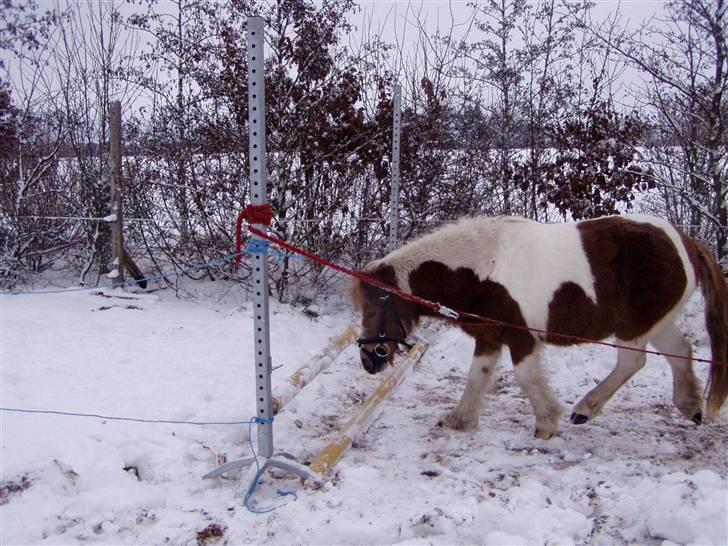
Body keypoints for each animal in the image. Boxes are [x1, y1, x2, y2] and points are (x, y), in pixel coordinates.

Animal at [352, 212, 728, 438]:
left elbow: (527, 378)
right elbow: (476, 378)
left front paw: (547, 422)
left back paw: (585, 410)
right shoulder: (490, 337)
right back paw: (691, 407)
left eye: (370, 310)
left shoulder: (523, 339)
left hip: (634, 327)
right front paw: (460, 420)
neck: (487, 268)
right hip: (657, 323)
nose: (369, 360)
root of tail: (687, 243)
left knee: (632, 362)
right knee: (680, 352)